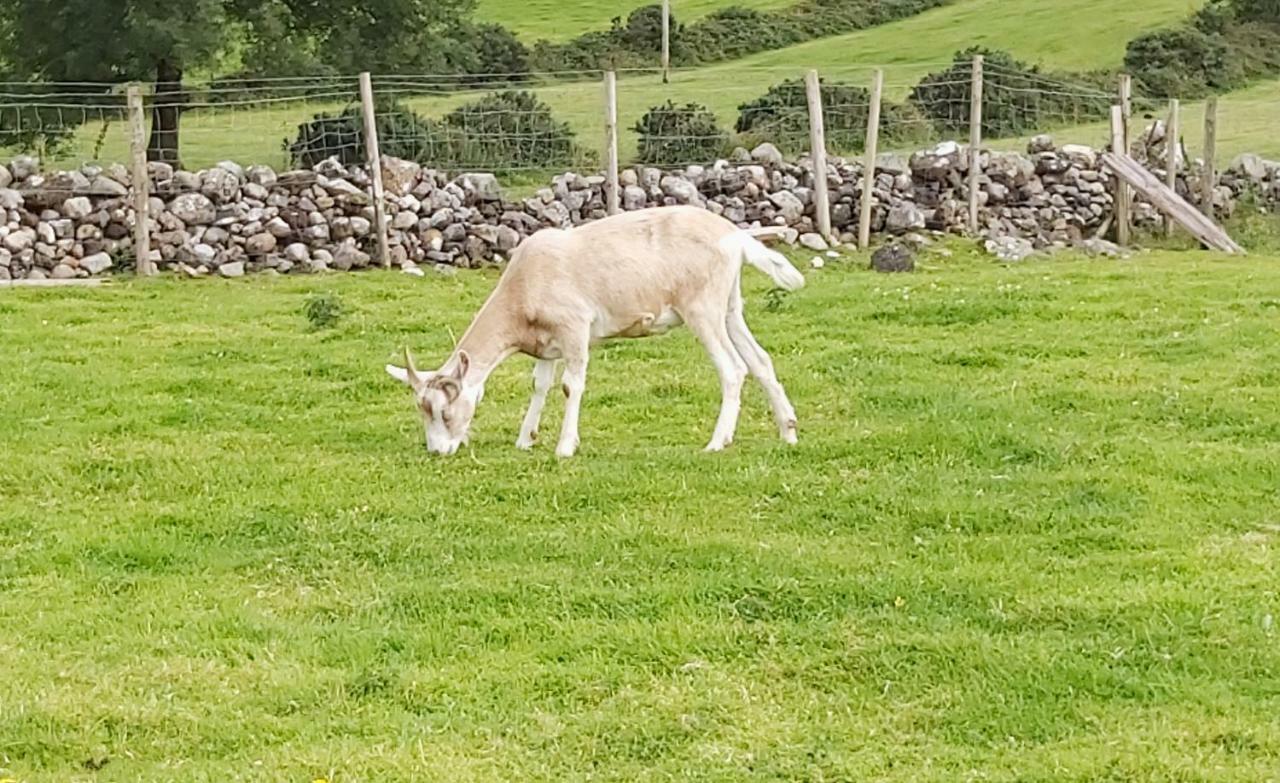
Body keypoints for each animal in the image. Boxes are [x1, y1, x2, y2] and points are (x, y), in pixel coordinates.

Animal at [384, 204, 803, 455]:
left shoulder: (575, 328)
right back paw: (788, 431)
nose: (437, 451)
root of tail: (735, 235)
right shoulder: (547, 342)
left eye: (444, 412)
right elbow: (540, 385)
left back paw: (717, 441)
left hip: (702, 308)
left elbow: (571, 386)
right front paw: (525, 439)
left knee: (733, 368)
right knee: (761, 360)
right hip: (729, 306)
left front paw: (565, 447)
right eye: (422, 410)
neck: (523, 286)